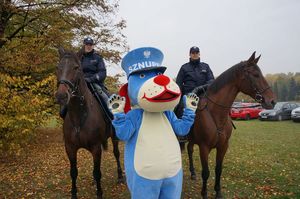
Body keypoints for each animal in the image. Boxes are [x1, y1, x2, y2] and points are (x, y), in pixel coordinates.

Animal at [54, 47, 123, 198]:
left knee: (116, 154)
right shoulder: (70, 148)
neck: (79, 116)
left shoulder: (96, 148)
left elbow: (97, 172)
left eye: (76, 67)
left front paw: (99, 193)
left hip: (114, 137)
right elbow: (73, 172)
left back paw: (120, 176)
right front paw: (74, 194)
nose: (61, 96)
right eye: (58, 67)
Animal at [188, 52, 276, 198]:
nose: (272, 101)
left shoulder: (223, 146)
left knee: (189, 149)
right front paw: (204, 193)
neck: (216, 114)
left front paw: (218, 192)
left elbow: (218, 169)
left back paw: (192, 173)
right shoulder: (204, 147)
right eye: (255, 75)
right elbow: (206, 172)